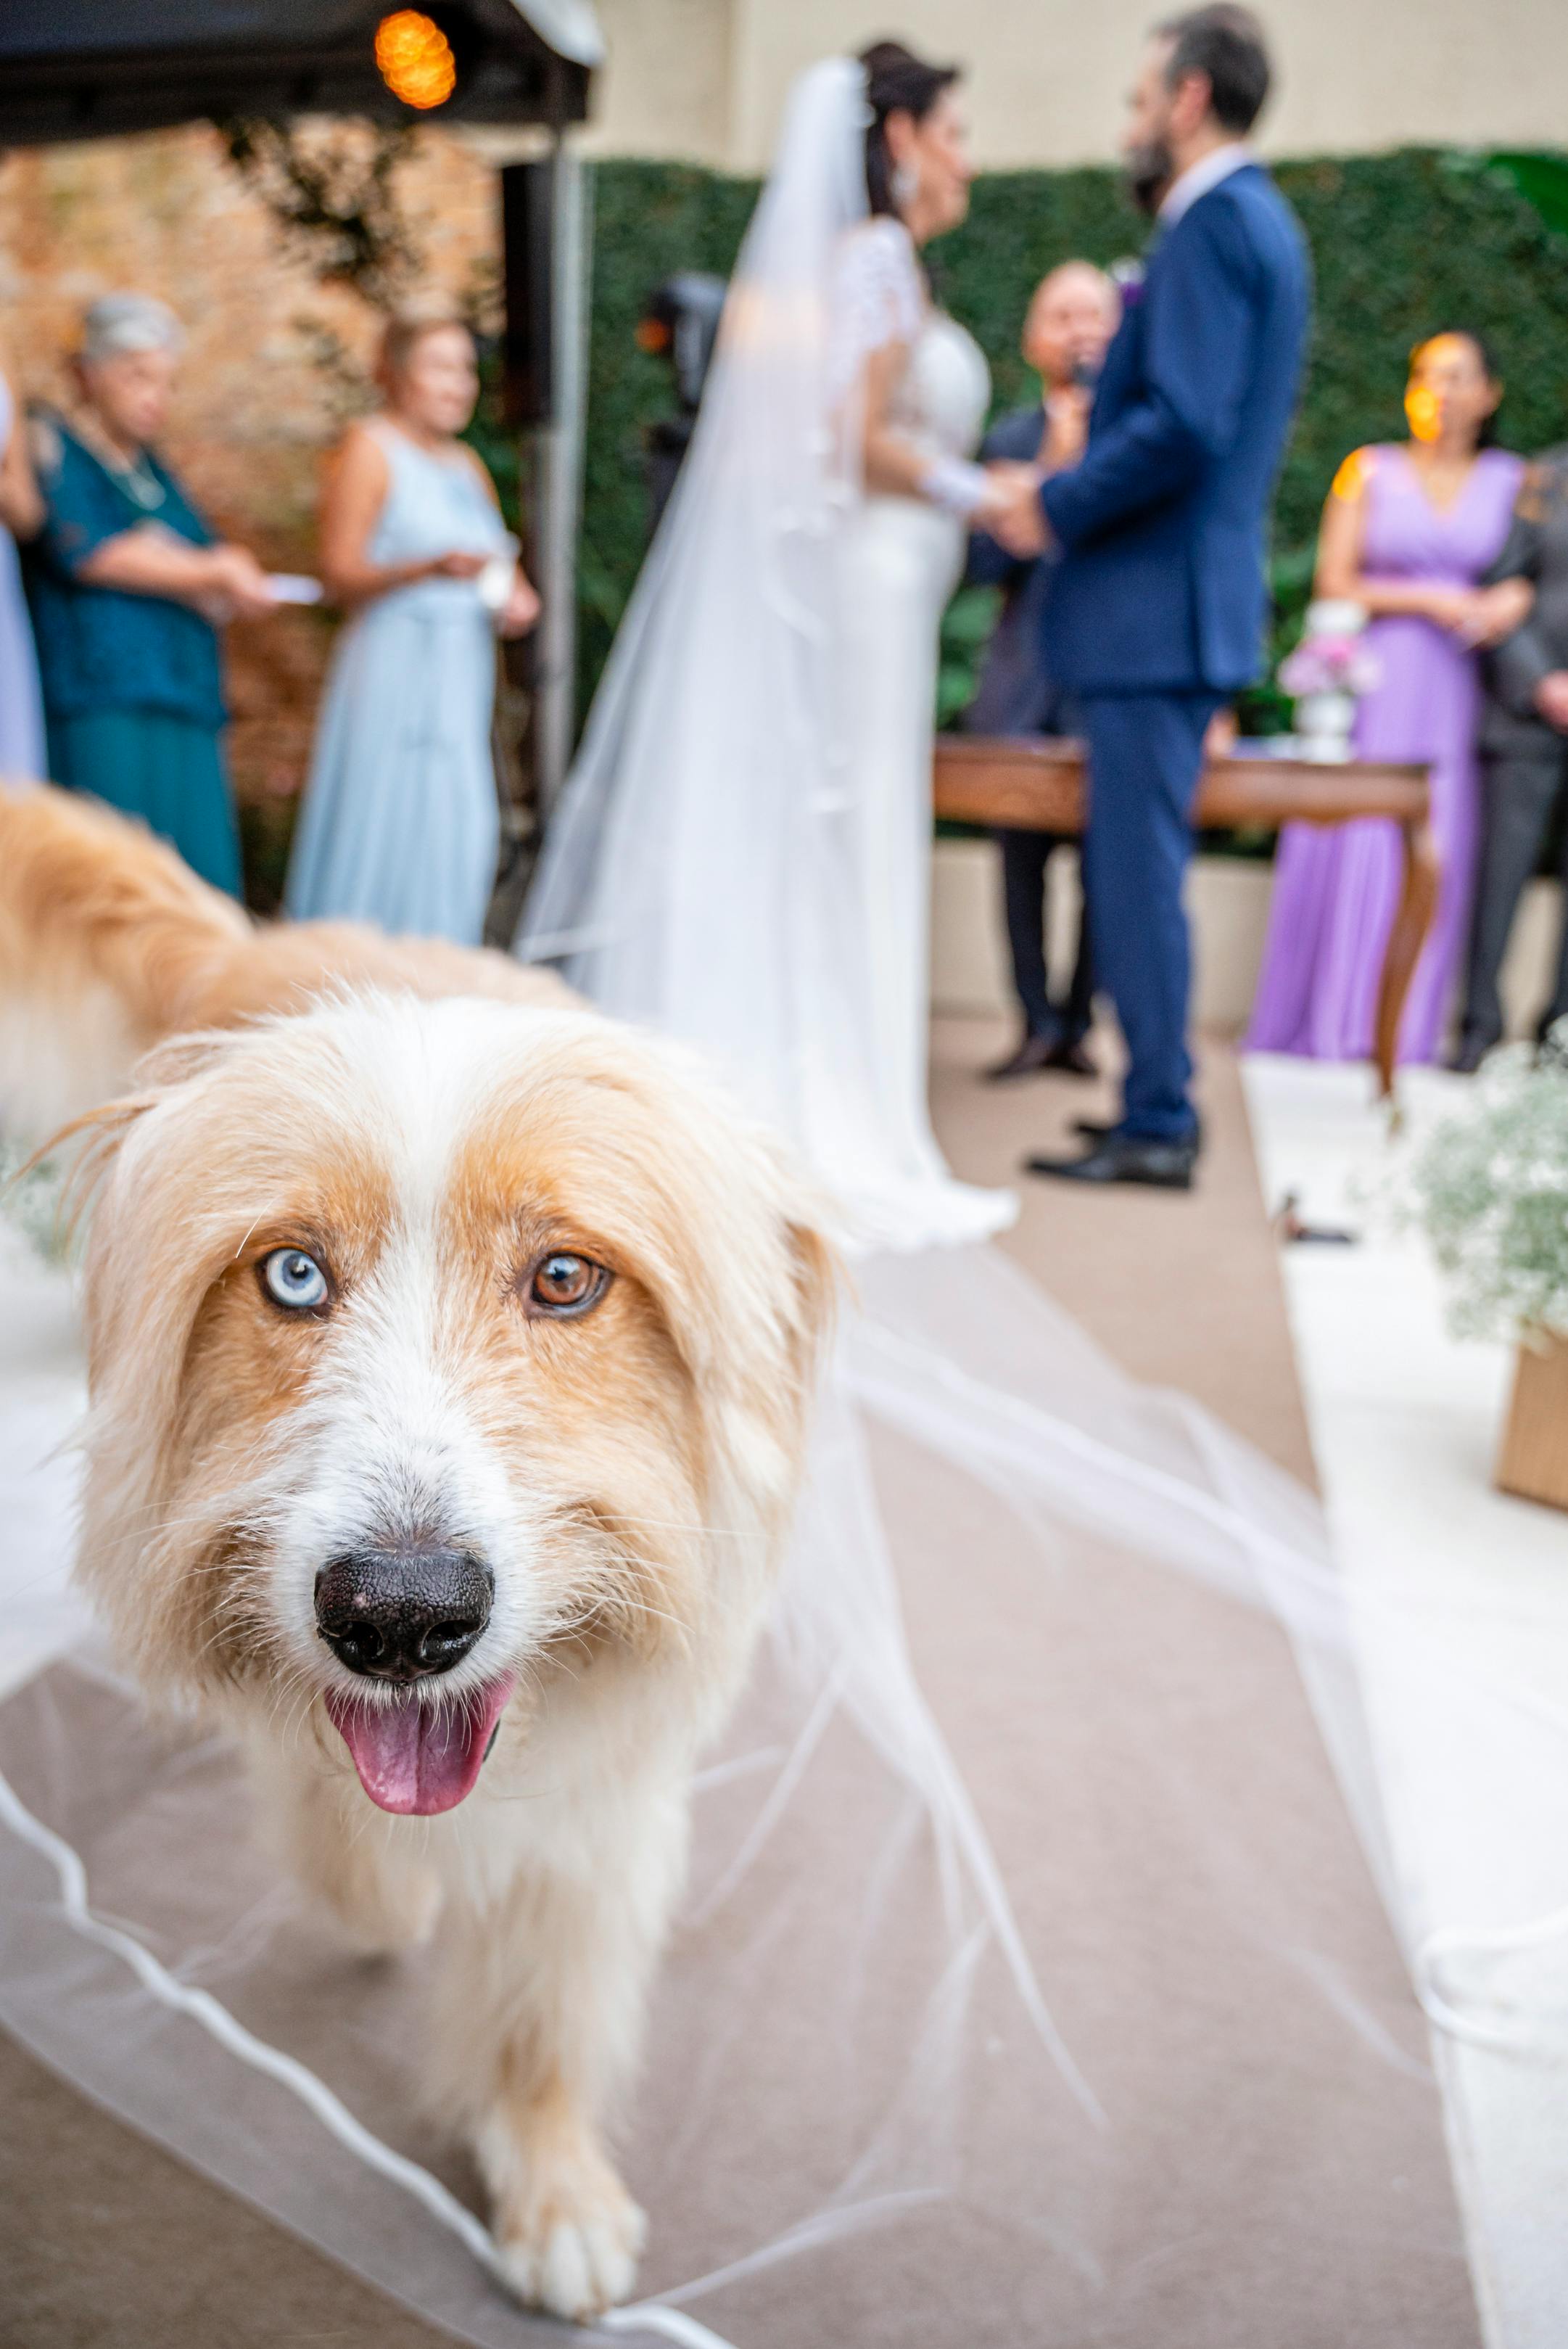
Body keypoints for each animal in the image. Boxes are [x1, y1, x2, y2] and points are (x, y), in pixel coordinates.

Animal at [6, 789, 840, 2311]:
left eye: (565, 1277)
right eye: (291, 1274)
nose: (400, 1616)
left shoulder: (601, 1791)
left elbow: (543, 1994)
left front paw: (550, 2174)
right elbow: (326, 1806)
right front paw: (382, 1885)